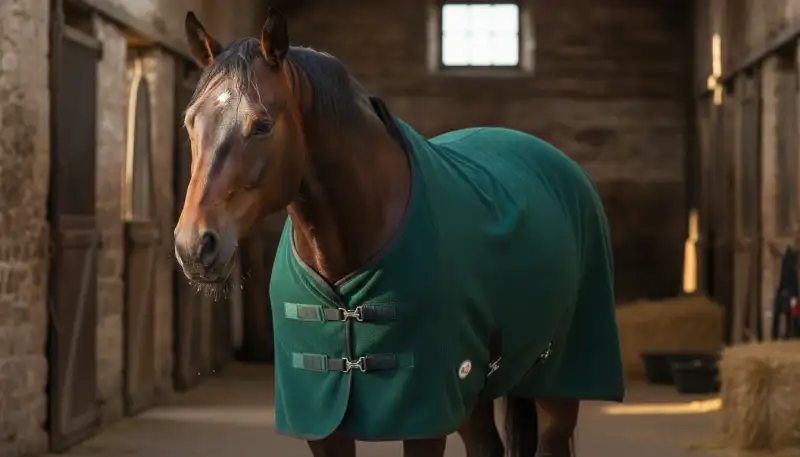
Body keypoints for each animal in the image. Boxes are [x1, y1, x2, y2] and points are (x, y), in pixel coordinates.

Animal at [174, 8, 625, 457]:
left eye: (262, 125)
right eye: (190, 123)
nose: (195, 246)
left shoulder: (424, 415)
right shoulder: (323, 423)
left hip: (555, 383)